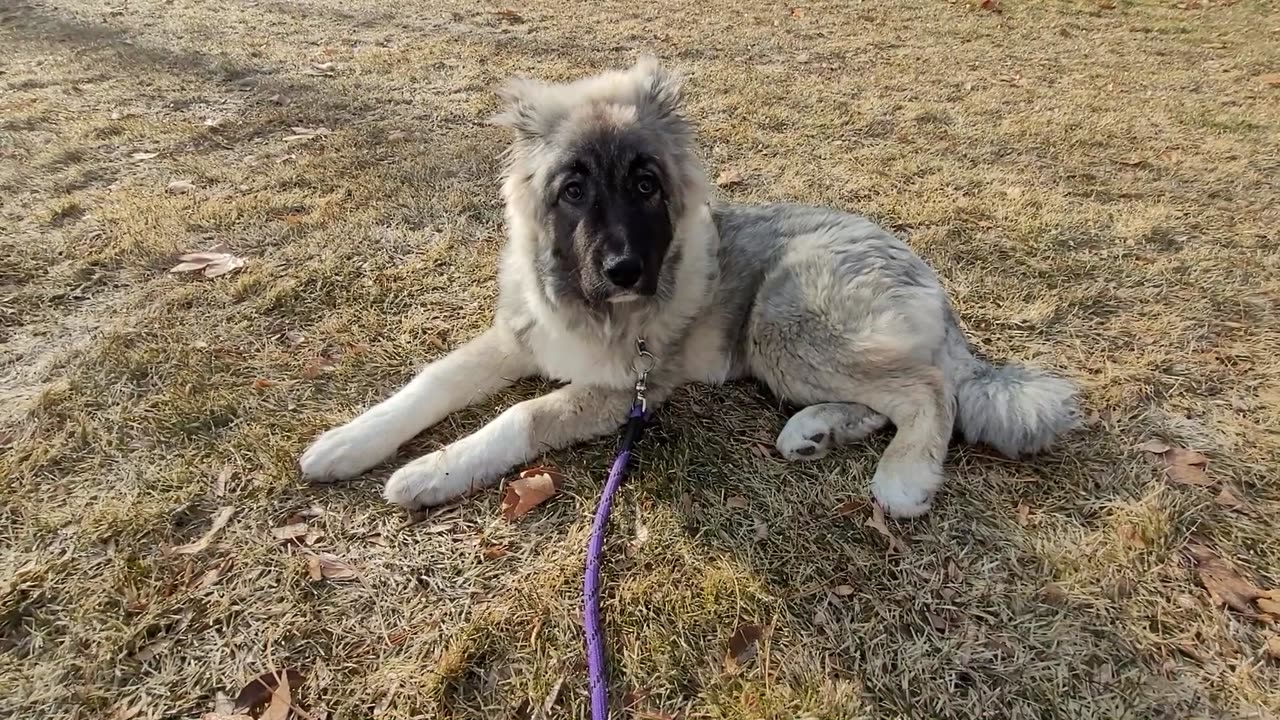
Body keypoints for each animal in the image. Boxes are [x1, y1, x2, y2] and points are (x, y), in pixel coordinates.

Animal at [294, 56, 1075, 515]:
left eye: (646, 184)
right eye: (573, 189)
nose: (623, 272)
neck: (587, 308)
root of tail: (929, 281)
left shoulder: (622, 391)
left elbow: (517, 417)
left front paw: (430, 471)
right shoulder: (518, 337)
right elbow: (431, 382)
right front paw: (348, 442)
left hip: (784, 320)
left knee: (930, 390)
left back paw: (904, 477)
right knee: (893, 395)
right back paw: (817, 431)